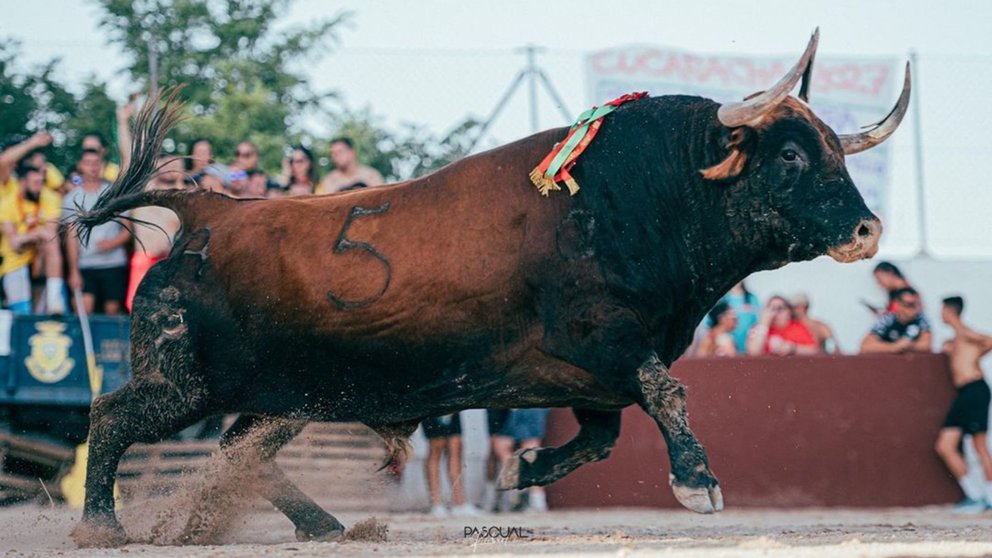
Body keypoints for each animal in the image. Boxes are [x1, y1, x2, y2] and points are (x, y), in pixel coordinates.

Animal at [68, 29, 908, 548]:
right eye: (792, 155)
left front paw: (519, 469)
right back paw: (101, 526)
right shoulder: (604, 339)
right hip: (186, 382)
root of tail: (208, 210)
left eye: (836, 151)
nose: (868, 229)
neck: (645, 191)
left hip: (284, 396)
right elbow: (666, 394)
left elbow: (602, 438)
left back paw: (325, 525)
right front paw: (698, 483)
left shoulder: (589, 377)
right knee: (113, 417)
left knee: (242, 454)